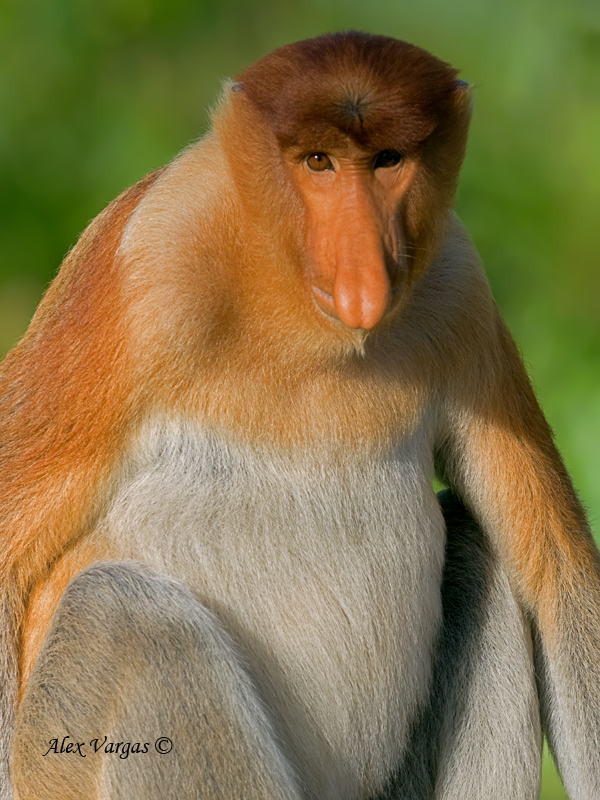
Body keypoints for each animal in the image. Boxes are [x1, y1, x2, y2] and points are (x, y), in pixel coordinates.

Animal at [1, 31, 600, 800]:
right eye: (319, 162)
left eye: (388, 161)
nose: (362, 278)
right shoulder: (146, 275)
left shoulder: (458, 289)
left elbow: (558, 576)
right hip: (55, 754)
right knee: (128, 614)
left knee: (479, 543)